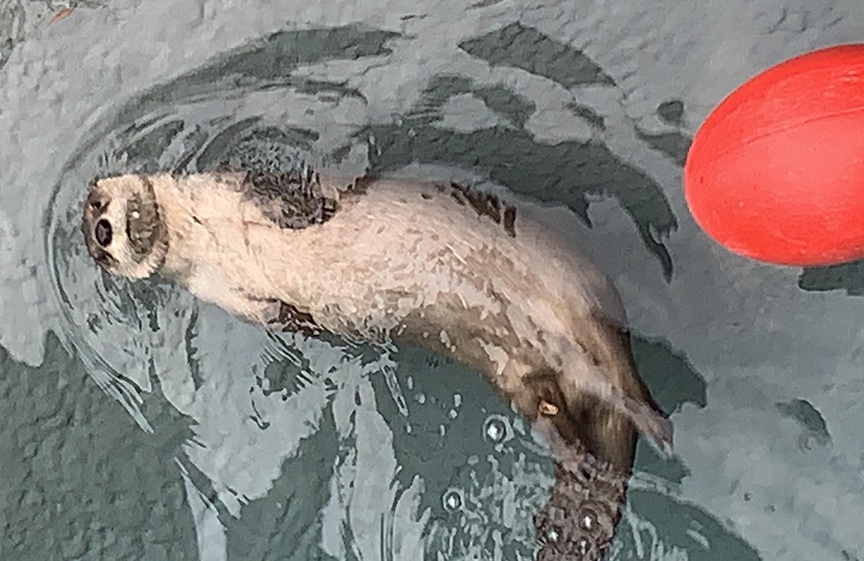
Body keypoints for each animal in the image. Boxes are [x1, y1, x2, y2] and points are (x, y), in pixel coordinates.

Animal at [81, 166, 671, 558]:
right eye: (98, 238)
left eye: (97, 212)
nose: (104, 230)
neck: (212, 236)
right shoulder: (234, 299)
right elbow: (288, 318)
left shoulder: (246, 189)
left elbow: (298, 204)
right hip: (522, 379)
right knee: (565, 414)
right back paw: (578, 458)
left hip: (579, 312)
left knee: (625, 387)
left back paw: (655, 426)